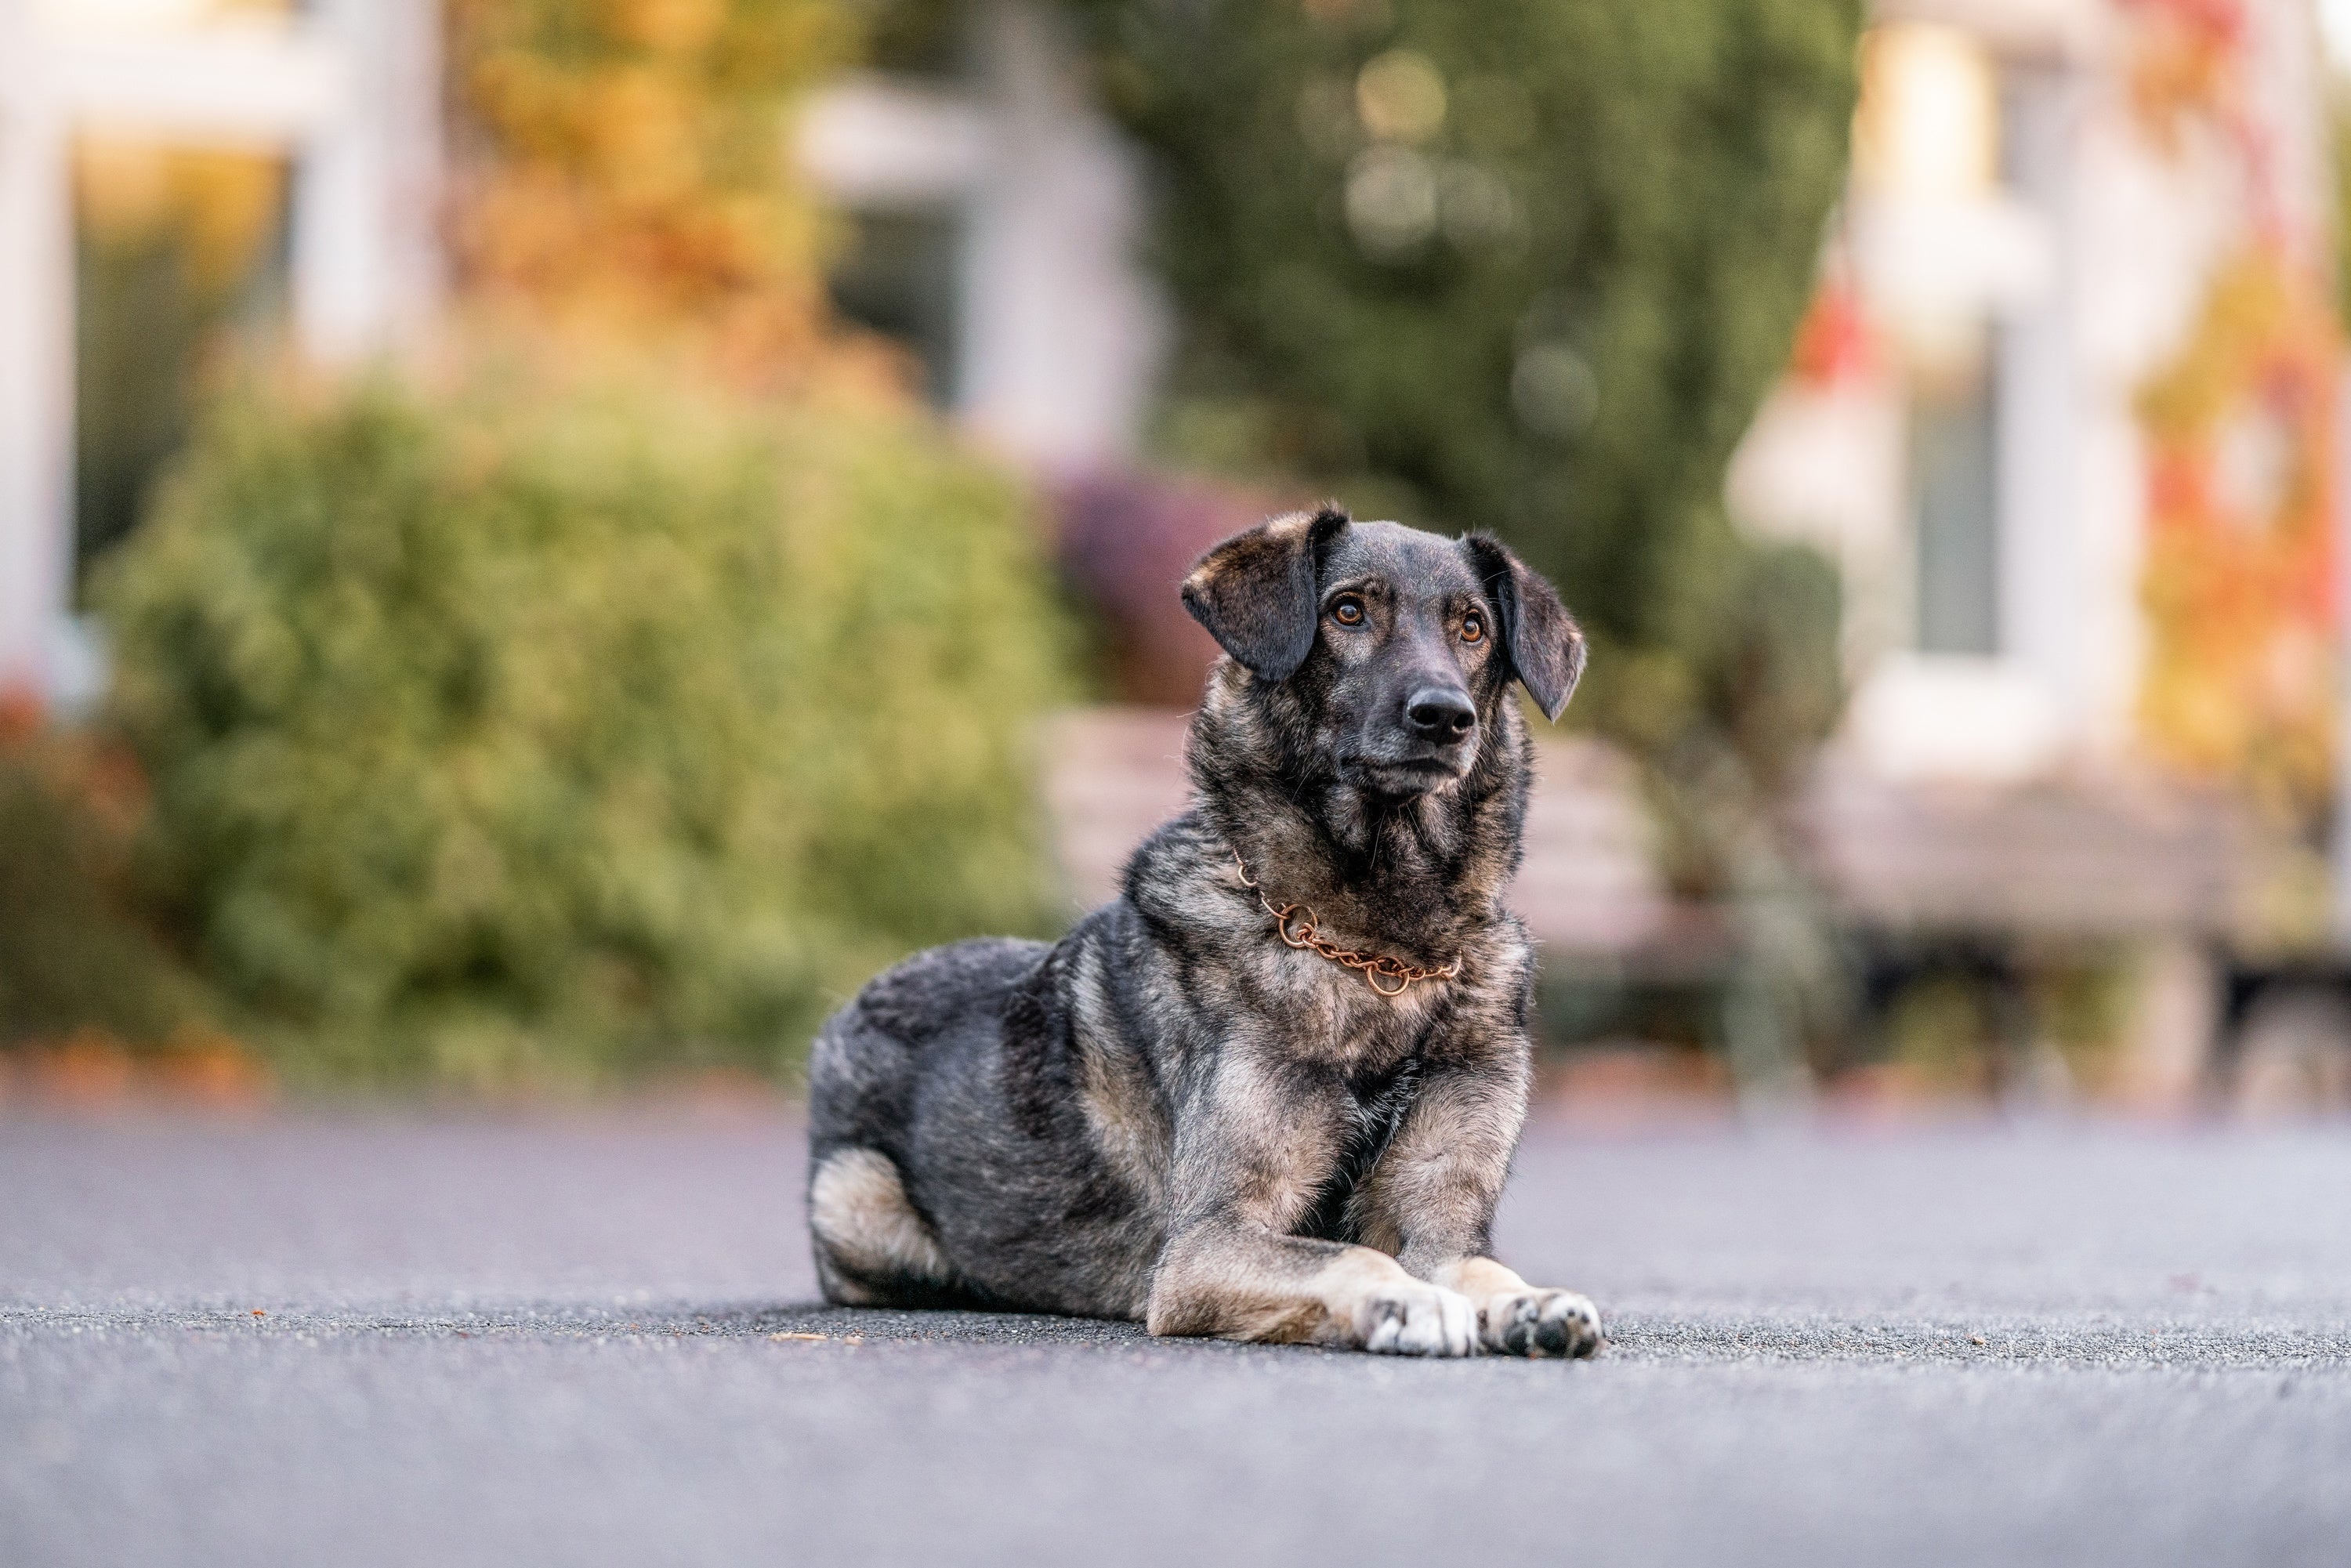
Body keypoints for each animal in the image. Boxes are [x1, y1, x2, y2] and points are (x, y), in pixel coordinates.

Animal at [804, 505, 1599, 1363]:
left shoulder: (1441, 1224)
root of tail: (851, 1006)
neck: (1375, 953)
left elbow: (1474, 1266)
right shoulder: (1206, 1243)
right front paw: (1406, 1300)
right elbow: (1352, 1254)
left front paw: (1530, 1302)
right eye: (1347, 611)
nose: (1446, 716)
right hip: (857, 1199)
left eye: (1473, 627)